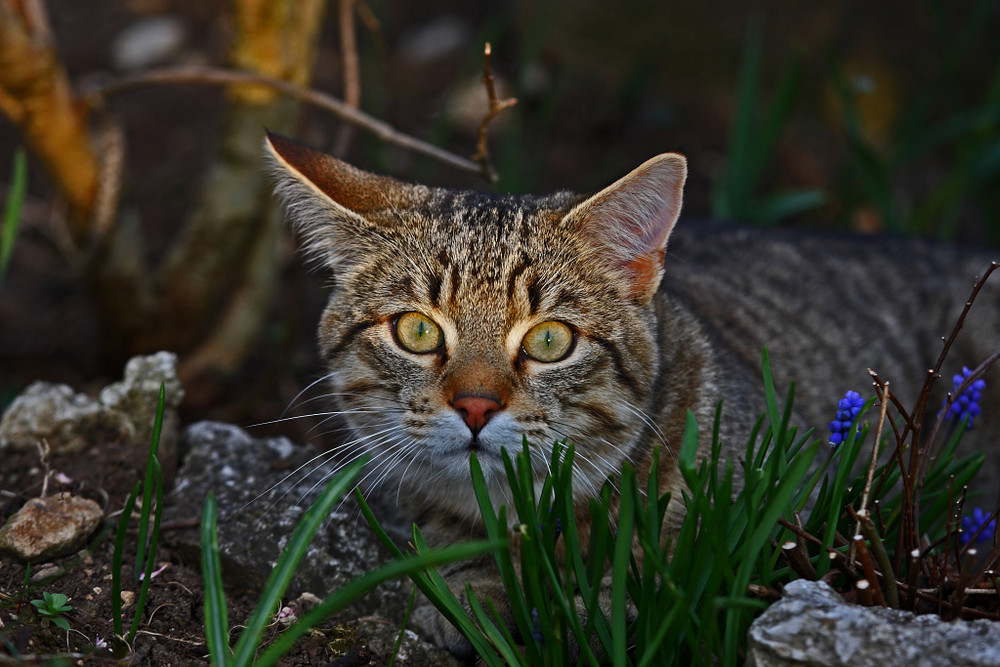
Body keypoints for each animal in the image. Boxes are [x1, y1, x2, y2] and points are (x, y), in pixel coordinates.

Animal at [266, 132, 1000, 656]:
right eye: (417, 330)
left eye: (550, 340)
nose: (476, 406)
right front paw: (473, 591)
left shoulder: (785, 518)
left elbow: (661, 577)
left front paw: (586, 606)